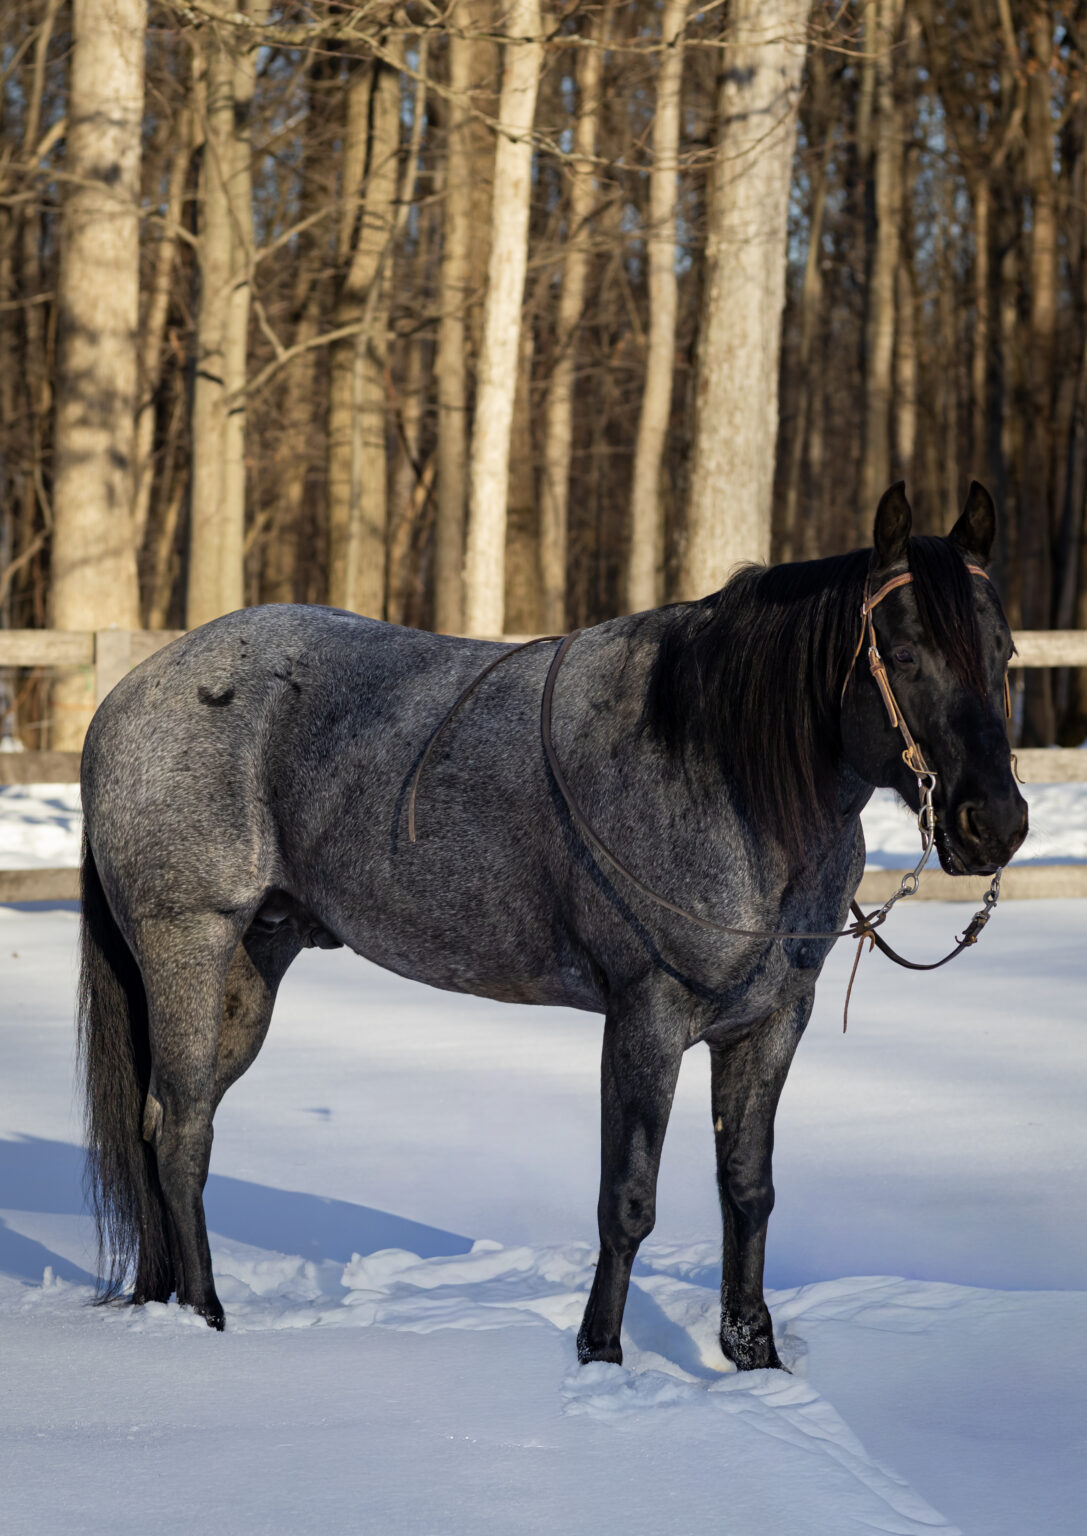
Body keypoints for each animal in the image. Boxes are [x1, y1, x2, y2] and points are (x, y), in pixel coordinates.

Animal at [77, 481, 1027, 1368]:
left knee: (163, 1124)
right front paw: (600, 1357)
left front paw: (754, 1361)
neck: (718, 770)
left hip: (251, 964)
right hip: (190, 945)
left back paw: (164, 1301)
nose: (995, 824)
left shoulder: (768, 1025)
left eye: (1005, 652)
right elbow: (628, 1200)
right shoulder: (646, 1019)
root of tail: (129, 697)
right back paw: (204, 1317)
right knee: (183, 1130)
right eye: (901, 653)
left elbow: (747, 1190)